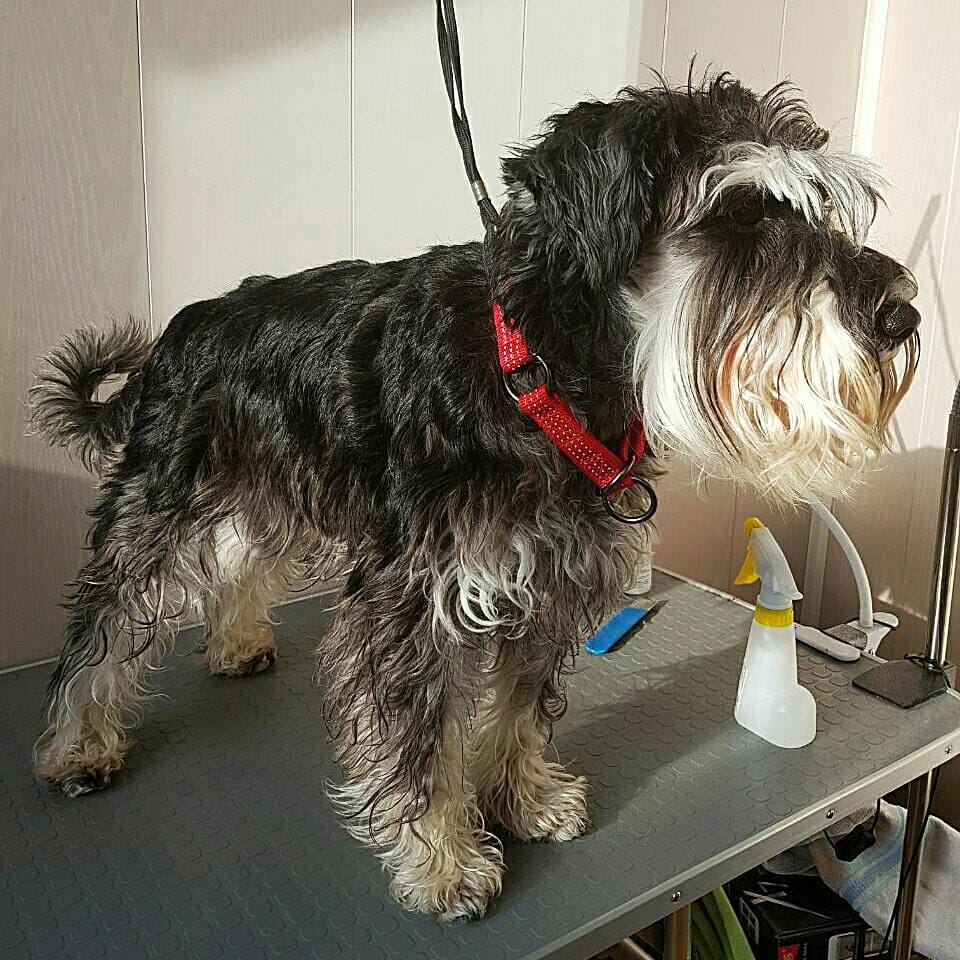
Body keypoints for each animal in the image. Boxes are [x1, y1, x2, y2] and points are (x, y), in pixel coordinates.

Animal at [30, 75, 919, 921]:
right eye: (739, 211)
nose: (901, 314)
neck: (539, 371)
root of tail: (179, 331)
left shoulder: (552, 583)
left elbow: (520, 709)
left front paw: (522, 799)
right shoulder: (415, 603)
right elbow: (423, 744)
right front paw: (443, 864)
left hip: (271, 492)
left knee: (243, 559)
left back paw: (237, 641)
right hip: (161, 507)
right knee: (104, 619)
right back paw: (77, 744)